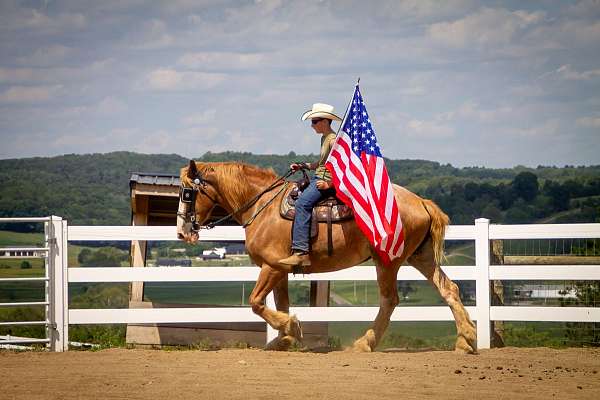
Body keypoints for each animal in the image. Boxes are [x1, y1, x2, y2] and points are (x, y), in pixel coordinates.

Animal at [176, 160, 476, 354]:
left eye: (188, 193)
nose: (182, 231)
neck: (263, 205)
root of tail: (421, 201)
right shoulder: (279, 270)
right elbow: (280, 303)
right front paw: (284, 338)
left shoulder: (271, 266)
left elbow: (256, 303)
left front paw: (292, 327)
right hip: (419, 256)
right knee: (449, 289)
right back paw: (466, 340)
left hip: (388, 261)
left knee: (390, 300)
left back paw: (365, 342)